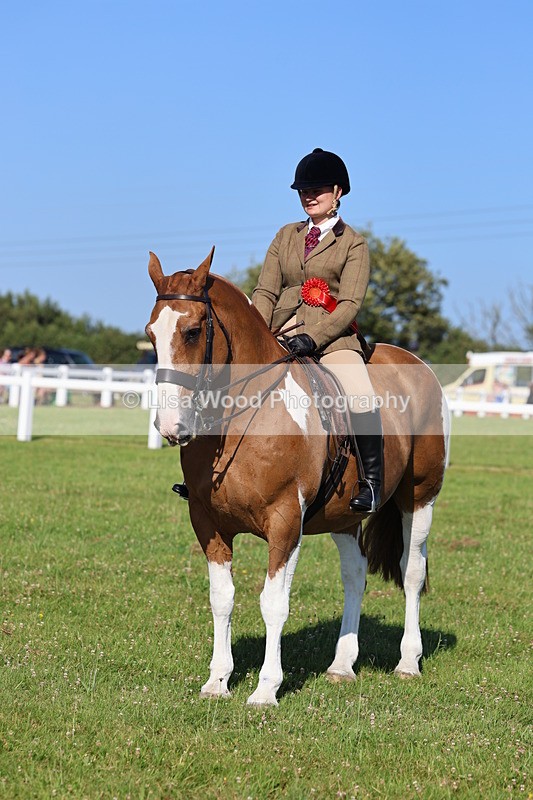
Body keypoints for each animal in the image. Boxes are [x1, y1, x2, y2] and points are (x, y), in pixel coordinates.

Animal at [146, 248, 449, 706]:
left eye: (194, 331)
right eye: (151, 335)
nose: (169, 426)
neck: (244, 417)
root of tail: (416, 364)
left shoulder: (286, 521)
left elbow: (273, 602)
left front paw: (266, 689)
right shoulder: (207, 522)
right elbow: (222, 598)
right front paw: (218, 681)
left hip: (420, 497)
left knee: (411, 570)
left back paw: (408, 662)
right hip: (345, 514)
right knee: (355, 573)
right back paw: (342, 665)